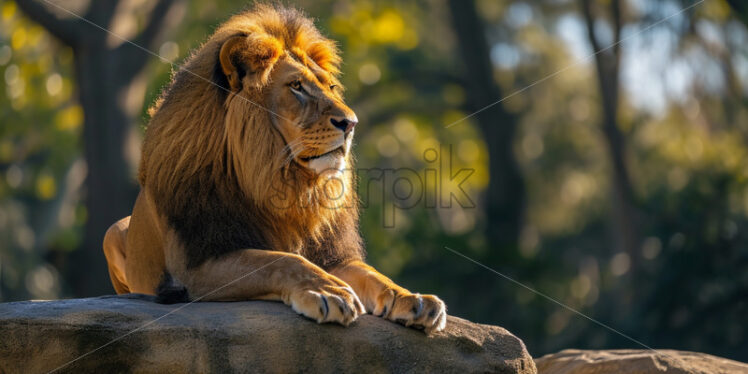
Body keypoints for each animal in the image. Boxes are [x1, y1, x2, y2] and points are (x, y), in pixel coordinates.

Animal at [102, 4, 448, 334]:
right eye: (296, 86)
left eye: (330, 86)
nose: (351, 123)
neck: (277, 179)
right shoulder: (197, 263)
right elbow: (281, 260)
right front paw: (328, 291)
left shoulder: (332, 255)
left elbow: (373, 275)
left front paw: (413, 299)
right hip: (113, 231)